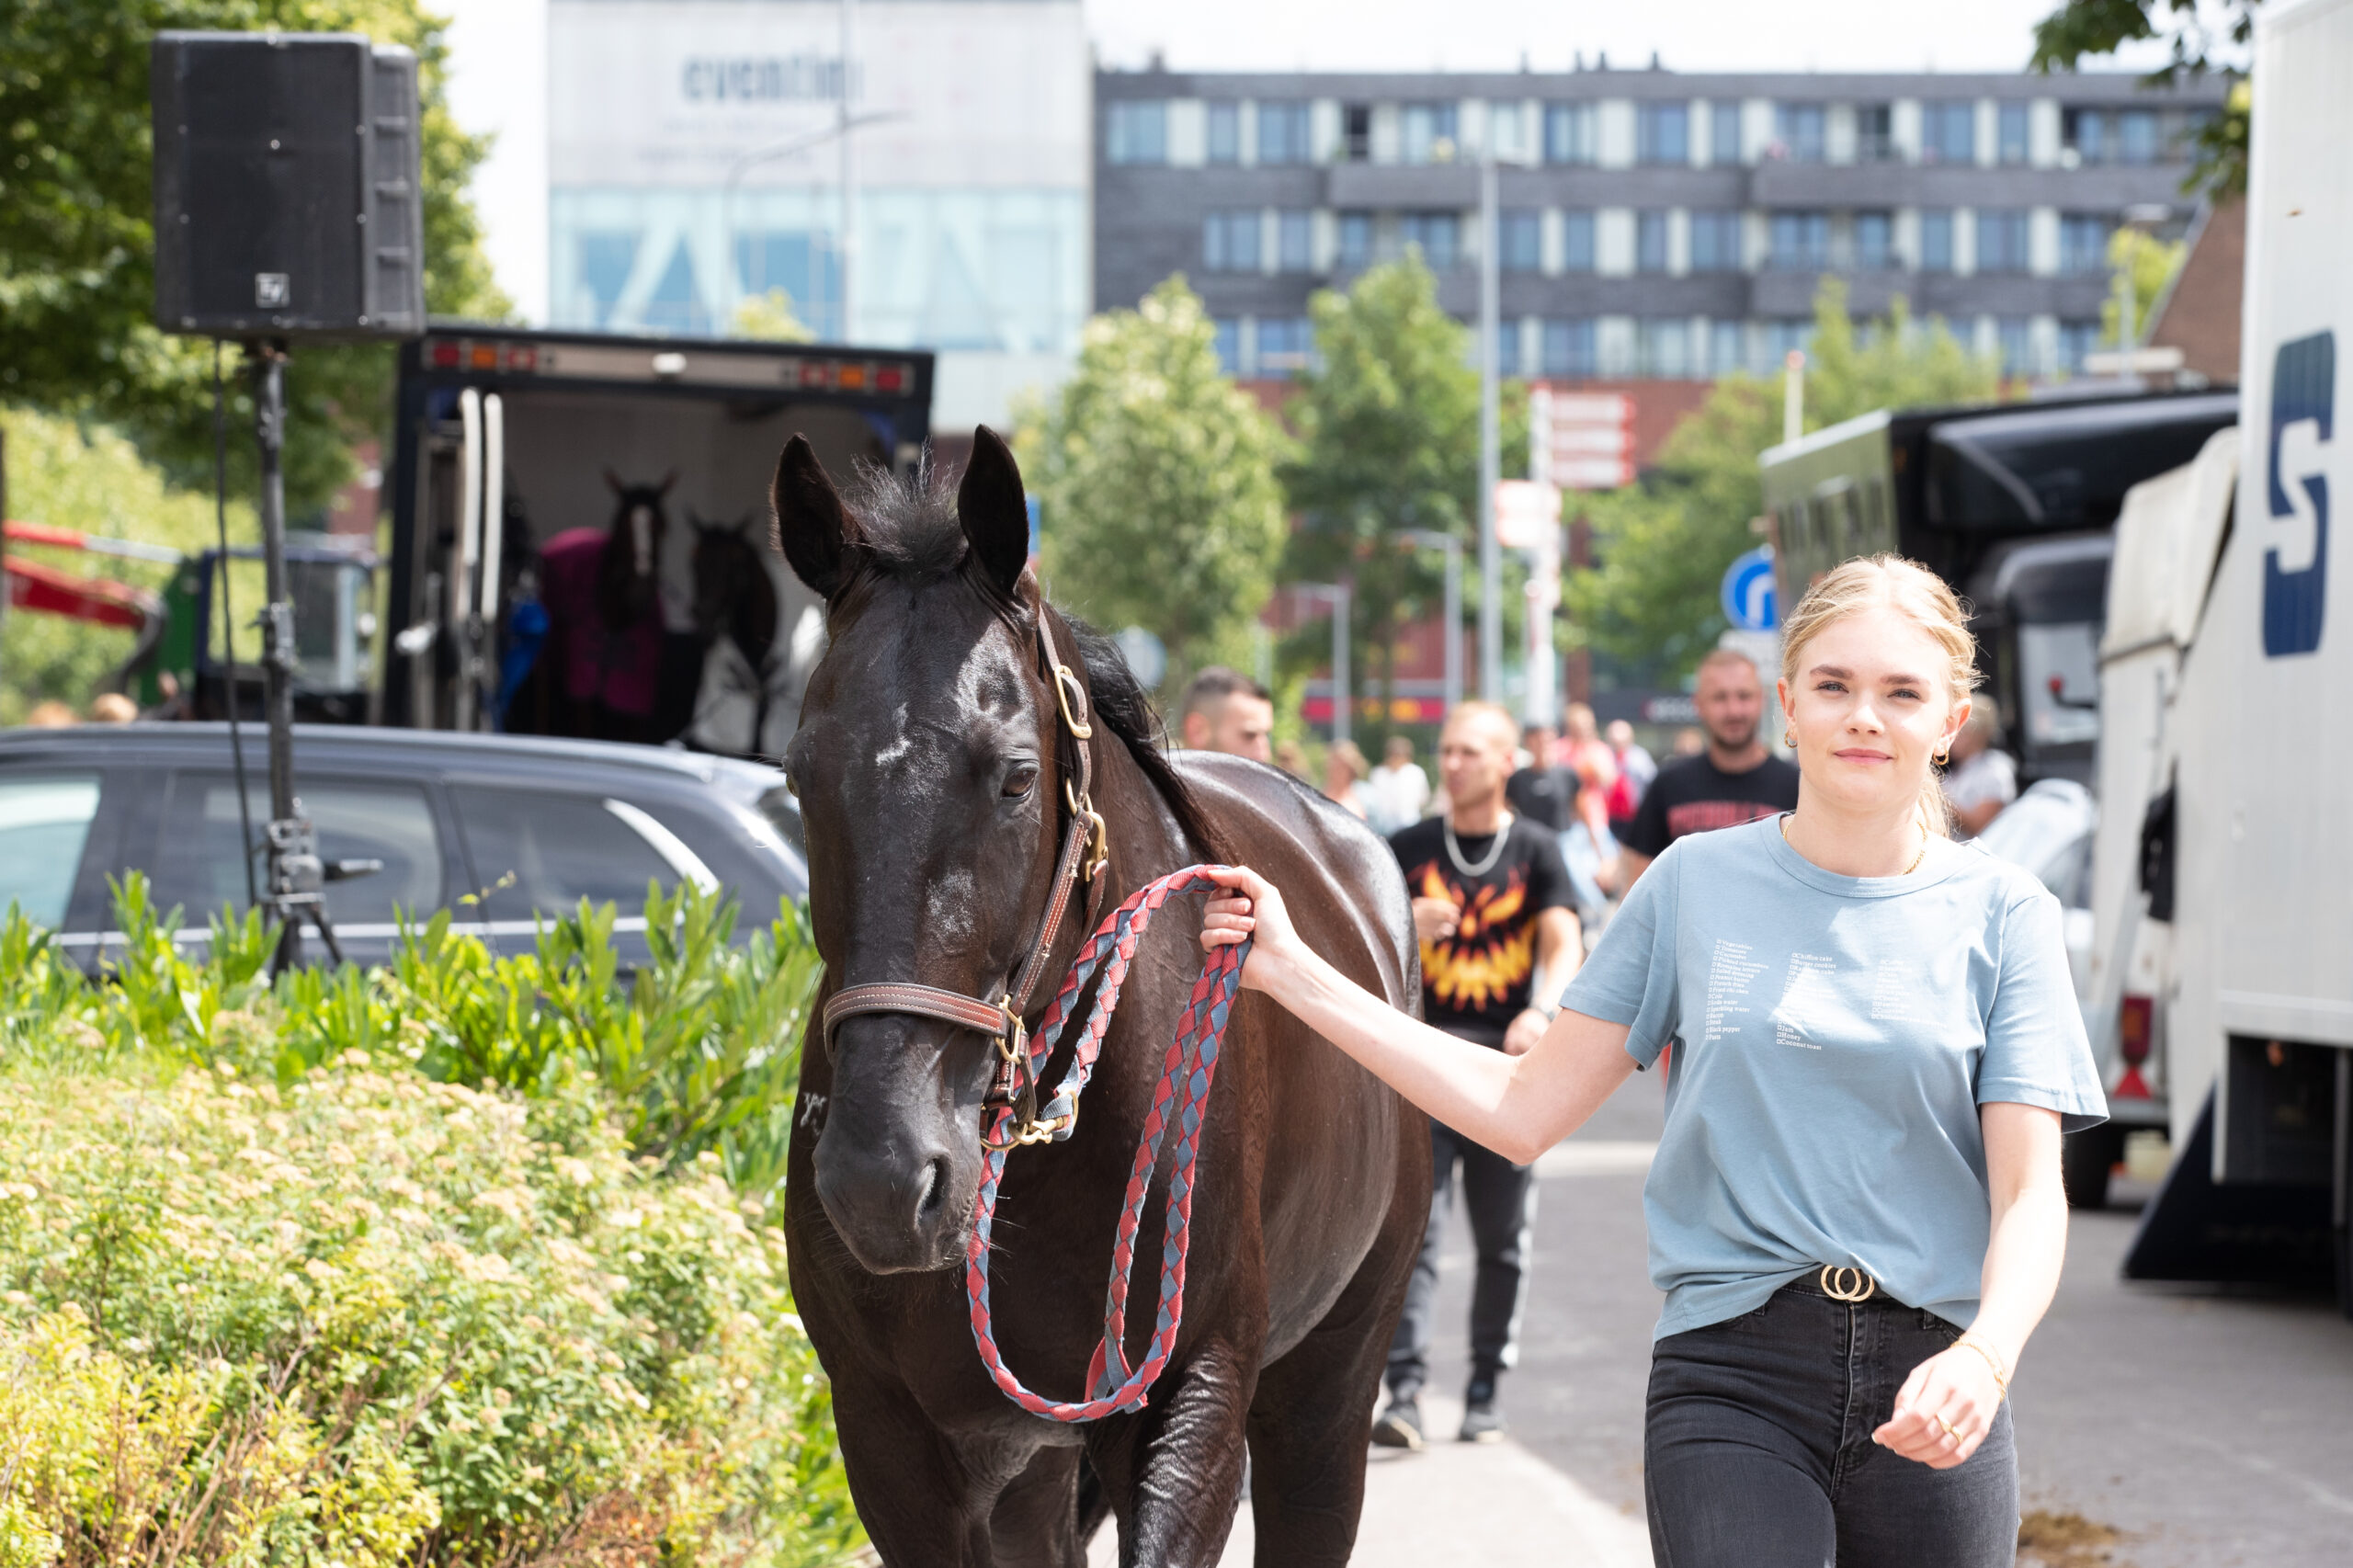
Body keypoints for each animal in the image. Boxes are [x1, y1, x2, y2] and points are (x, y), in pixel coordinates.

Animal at [770, 426, 1430, 1567]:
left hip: (1327, 1388)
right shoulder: (893, 1433)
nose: (883, 1176)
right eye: (801, 774)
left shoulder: (1189, 1389)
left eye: (1015, 775)